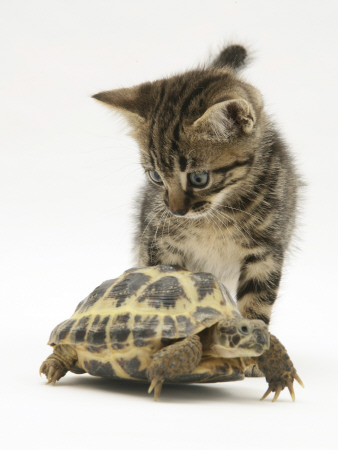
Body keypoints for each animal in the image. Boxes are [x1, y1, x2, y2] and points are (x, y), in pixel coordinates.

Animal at [92, 44, 298, 326]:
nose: (176, 211)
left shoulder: (267, 251)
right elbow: (163, 283)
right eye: (155, 176)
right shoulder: (159, 241)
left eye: (199, 179)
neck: (215, 218)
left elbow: (257, 303)